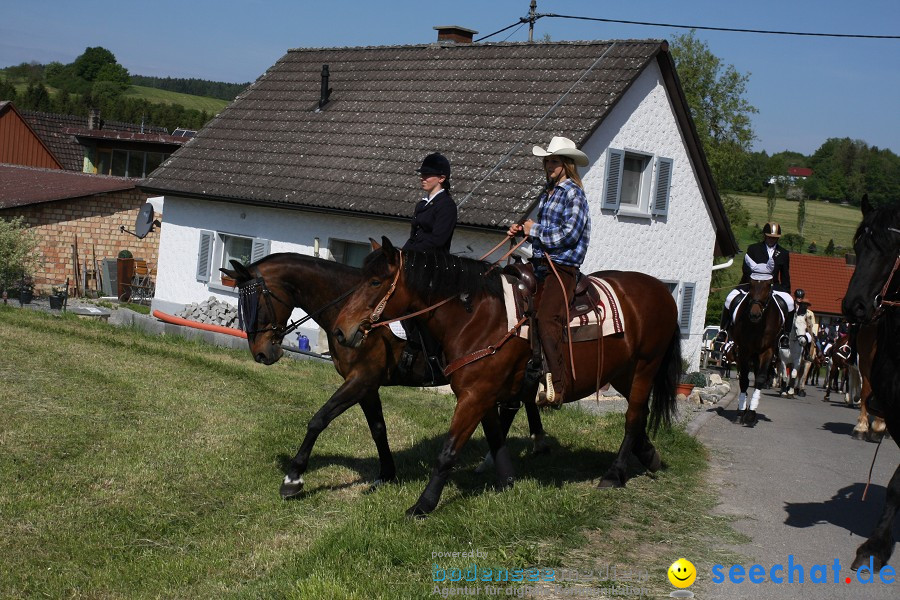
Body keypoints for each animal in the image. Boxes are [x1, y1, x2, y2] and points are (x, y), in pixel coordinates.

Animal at [221, 255, 544, 500]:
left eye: (255, 304)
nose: (261, 354)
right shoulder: (366, 385)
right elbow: (378, 429)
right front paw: (386, 474)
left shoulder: (361, 379)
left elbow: (318, 420)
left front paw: (293, 479)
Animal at [334, 238, 680, 516]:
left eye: (375, 281)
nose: (340, 331)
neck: (477, 318)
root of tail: (661, 290)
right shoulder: (484, 396)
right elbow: (496, 437)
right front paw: (506, 482)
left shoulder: (473, 397)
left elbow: (448, 452)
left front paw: (423, 505)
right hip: (623, 371)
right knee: (640, 415)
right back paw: (649, 457)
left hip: (646, 366)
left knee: (633, 418)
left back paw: (614, 474)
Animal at [728, 278, 784, 424]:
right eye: (751, 285)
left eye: (768, 285)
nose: (754, 314)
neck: (758, 326)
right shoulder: (744, 350)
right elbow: (743, 380)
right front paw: (741, 411)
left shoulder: (768, 350)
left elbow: (760, 378)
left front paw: (751, 413)